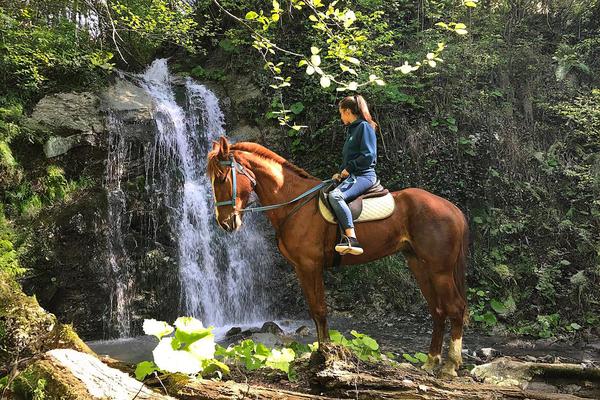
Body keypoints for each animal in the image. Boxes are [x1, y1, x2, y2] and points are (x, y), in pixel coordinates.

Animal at [209, 136, 472, 376]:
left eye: (221, 177)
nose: (225, 222)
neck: (295, 204)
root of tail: (452, 209)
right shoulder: (301, 268)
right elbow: (315, 311)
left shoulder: (310, 266)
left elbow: (320, 310)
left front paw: (325, 355)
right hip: (419, 265)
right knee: (438, 310)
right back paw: (431, 362)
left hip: (440, 270)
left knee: (455, 307)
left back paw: (450, 365)